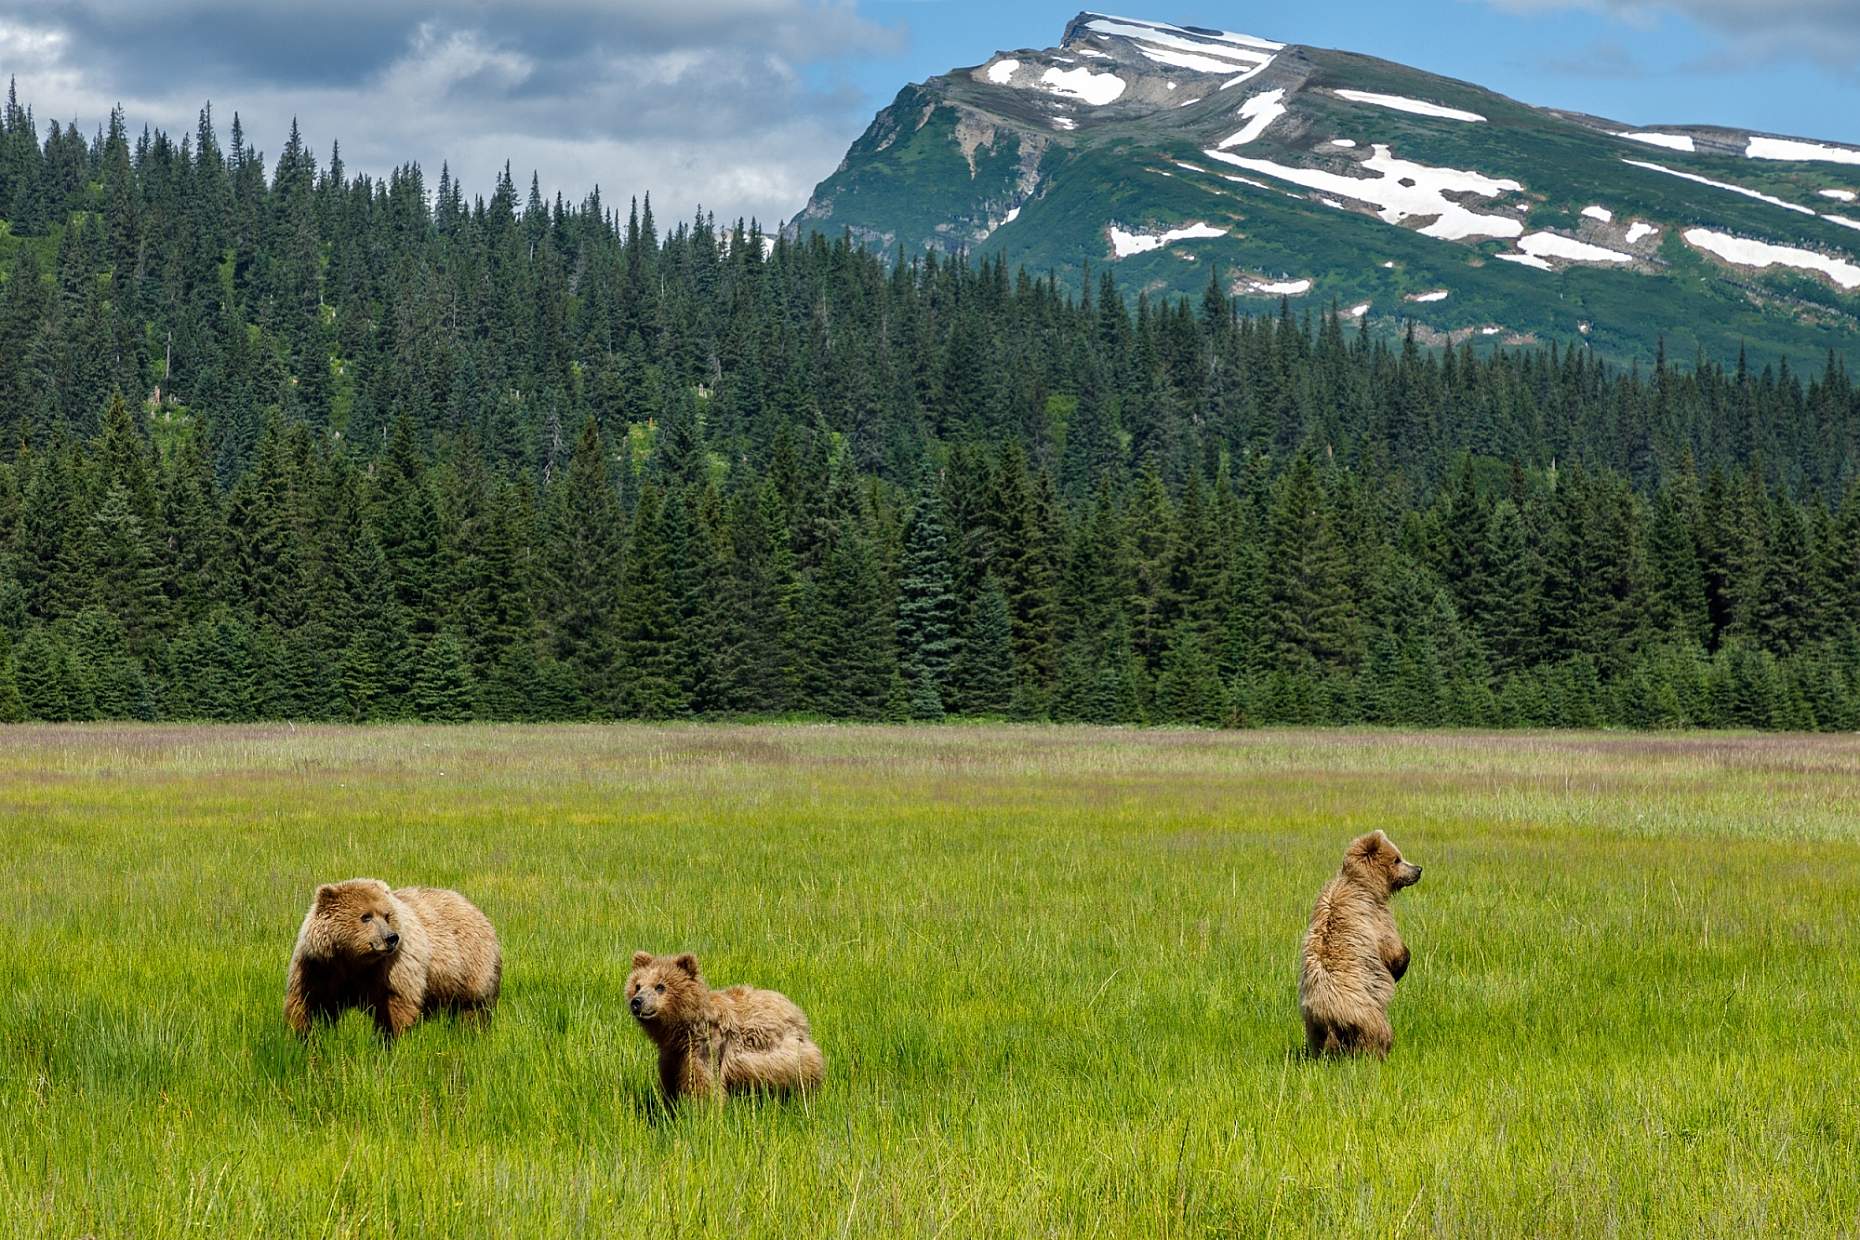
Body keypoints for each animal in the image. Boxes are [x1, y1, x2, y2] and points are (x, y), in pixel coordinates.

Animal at [284, 877, 502, 1041]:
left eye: (387, 915)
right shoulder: (319, 966)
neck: (354, 960)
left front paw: (387, 1039)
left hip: (471, 967)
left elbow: (395, 1004)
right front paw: (302, 1036)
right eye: (366, 916)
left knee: (474, 1008)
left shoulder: (392, 966)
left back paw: (472, 1032)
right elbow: (308, 1002)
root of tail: (473, 906)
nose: (391, 938)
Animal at [628, 951, 825, 1108]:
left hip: (783, 1056)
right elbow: (669, 1082)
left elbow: (703, 1085)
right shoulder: (673, 1055)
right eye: (638, 985)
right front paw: (669, 1106)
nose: (637, 1001)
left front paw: (700, 1111)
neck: (682, 1030)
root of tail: (798, 1014)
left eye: (660, 986)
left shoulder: (706, 1049)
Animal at [1294, 832, 1421, 1055]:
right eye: (1397, 859)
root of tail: (1328, 1014)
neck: (1364, 884)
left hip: (1314, 1027)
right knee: (1378, 1032)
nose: (1418, 870)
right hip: (1366, 1013)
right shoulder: (1374, 914)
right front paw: (1399, 967)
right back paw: (1381, 1051)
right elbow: (1392, 947)